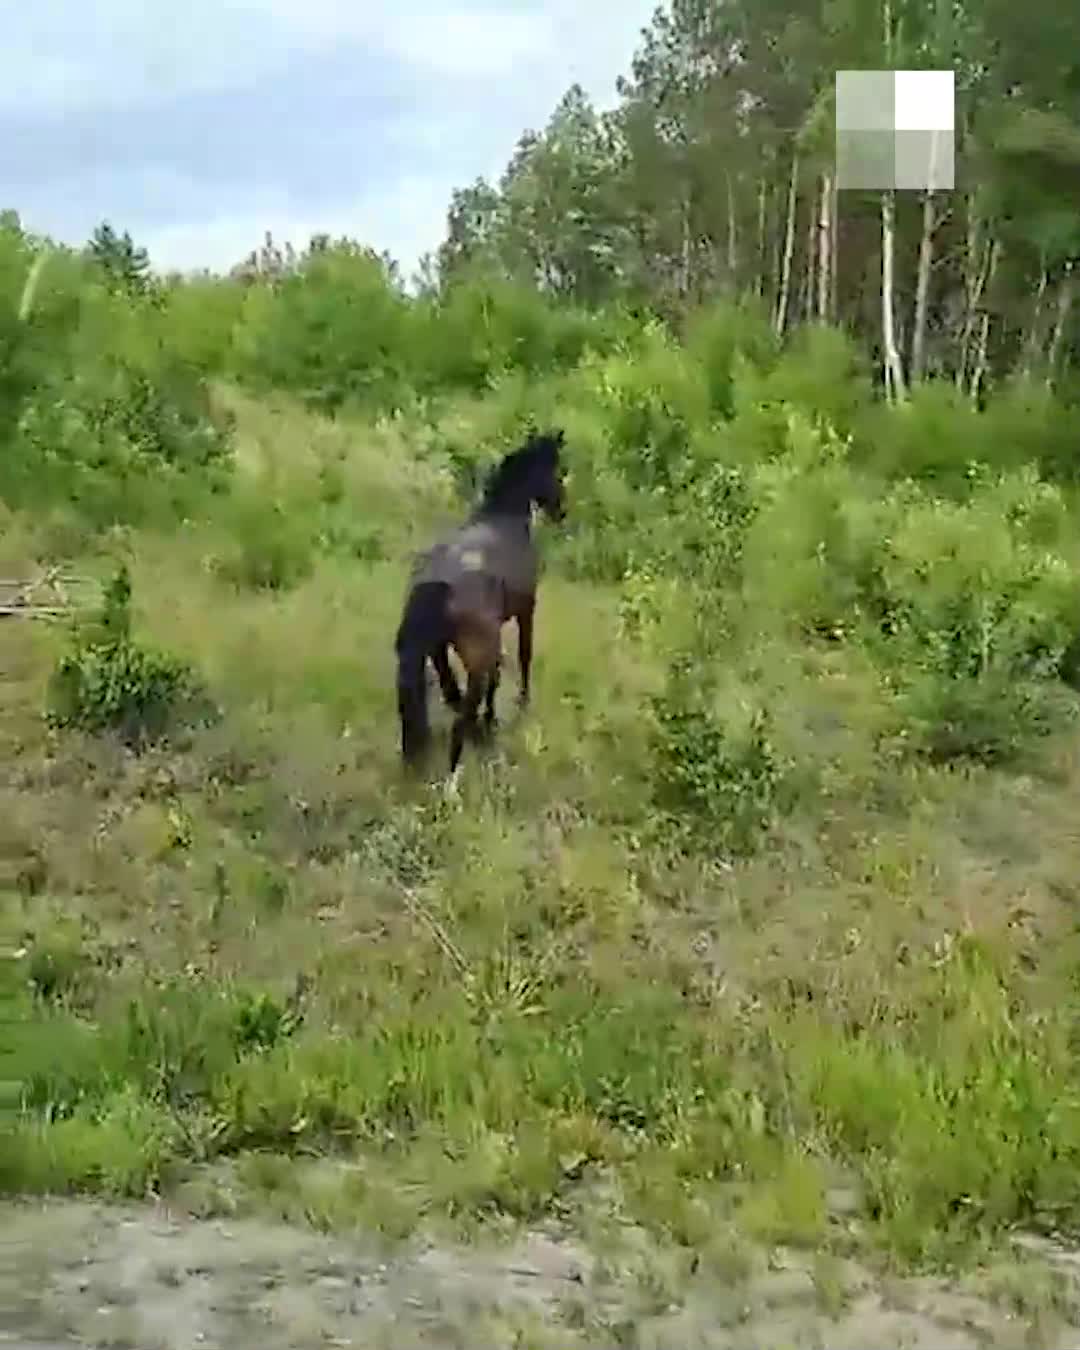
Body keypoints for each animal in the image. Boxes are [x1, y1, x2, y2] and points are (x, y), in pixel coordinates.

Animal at [394, 426, 564, 777]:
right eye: (553, 471)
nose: (561, 509)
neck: (504, 518)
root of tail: (437, 584)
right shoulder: (526, 610)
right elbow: (524, 656)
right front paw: (522, 702)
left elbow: (496, 678)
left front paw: (492, 719)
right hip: (473, 656)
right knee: (461, 717)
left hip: (439, 652)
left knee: (454, 697)